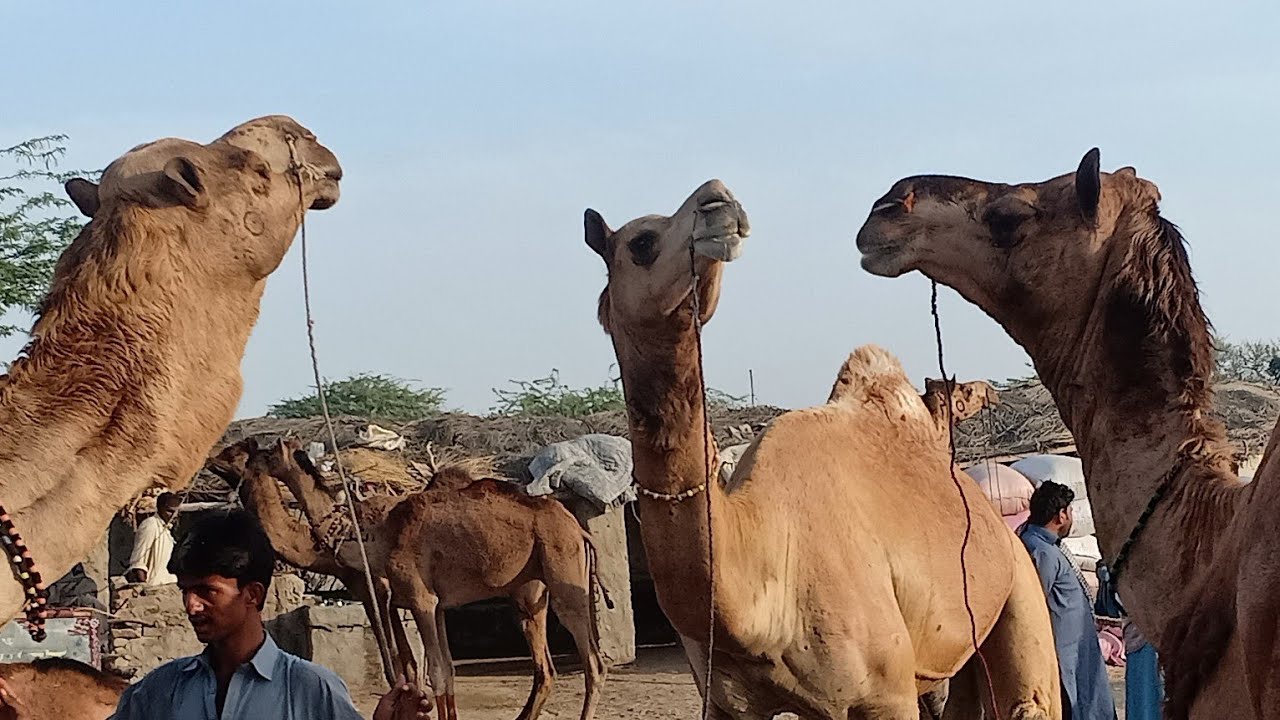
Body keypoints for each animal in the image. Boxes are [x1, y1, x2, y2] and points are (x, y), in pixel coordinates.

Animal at [210, 438, 610, 720]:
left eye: (249, 453)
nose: (213, 458)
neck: (371, 535)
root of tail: (578, 529)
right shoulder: (429, 602)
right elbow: (438, 668)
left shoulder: (404, 596)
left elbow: (421, 669)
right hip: (531, 592)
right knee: (547, 665)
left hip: (563, 576)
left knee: (593, 662)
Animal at [583, 179, 1060, 719]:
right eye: (641, 242)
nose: (719, 199)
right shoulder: (728, 703)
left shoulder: (887, 694)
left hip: (1021, 591)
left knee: (1030, 699)